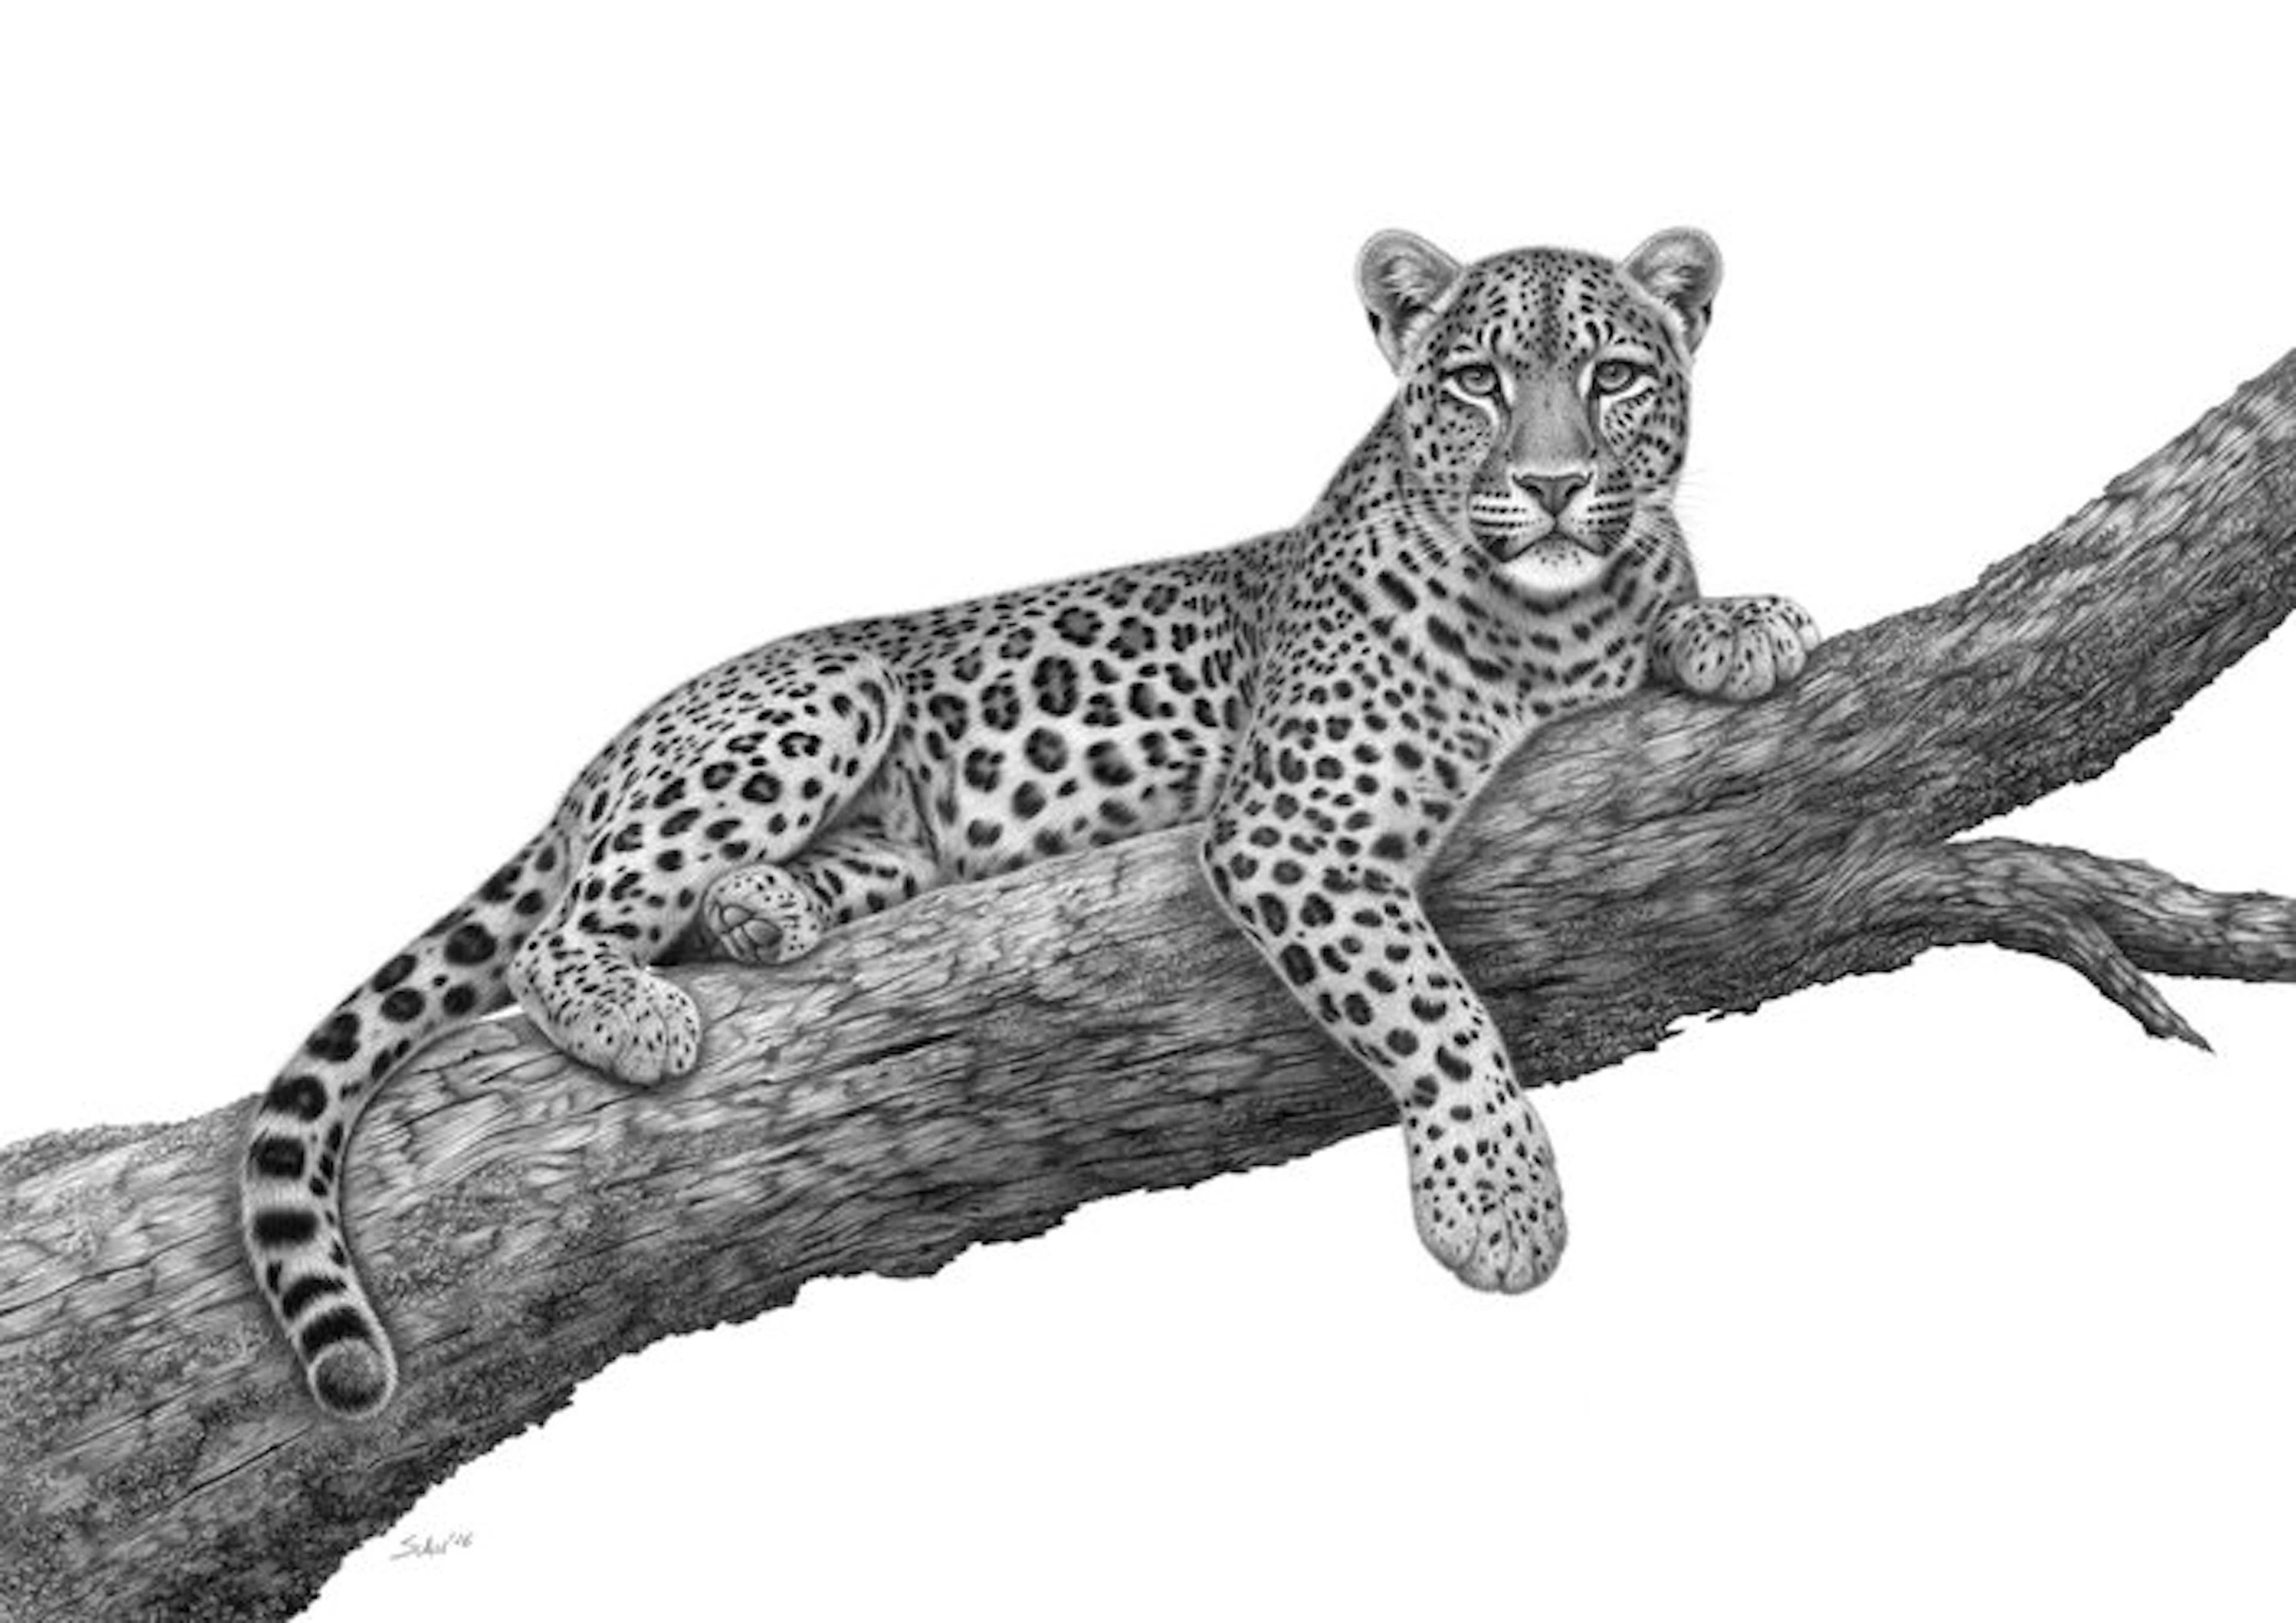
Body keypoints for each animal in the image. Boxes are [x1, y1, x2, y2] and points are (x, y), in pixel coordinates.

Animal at [241, 226, 1820, 1420]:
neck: (1556, 623)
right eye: (1480, 379)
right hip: (821, 694)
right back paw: (638, 1006)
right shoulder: (1291, 821)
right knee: (557, 932)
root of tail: (596, 758)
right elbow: (1435, 1010)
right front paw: (1497, 1200)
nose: (1552, 485)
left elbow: (1670, 617)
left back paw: (765, 908)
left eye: (1615, 376)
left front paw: (1741, 622)